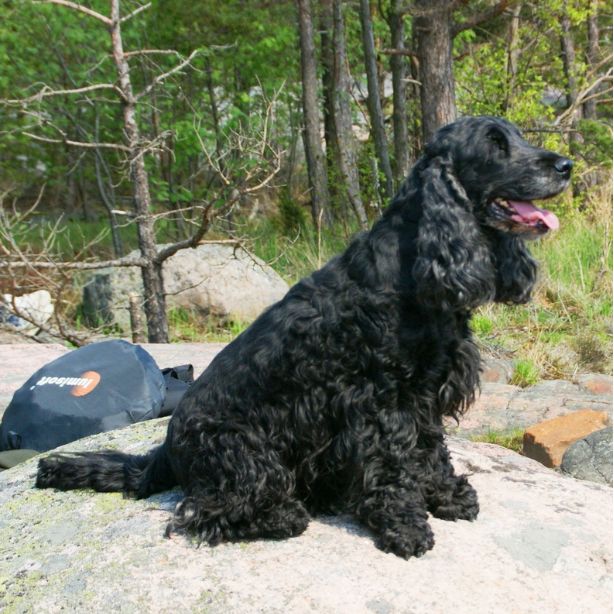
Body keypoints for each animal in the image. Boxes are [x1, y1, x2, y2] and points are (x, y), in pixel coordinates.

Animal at [35, 118, 572, 560]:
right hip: (244, 451)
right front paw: (404, 525)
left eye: (519, 136)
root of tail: (164, 451)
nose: (566, 165)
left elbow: (430, 450)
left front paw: (446, 496)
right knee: (205, 513)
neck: (415, 262)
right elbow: (396, 464)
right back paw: (286, 513)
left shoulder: (424, 394)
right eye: (496, 145)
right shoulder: (381, 400)